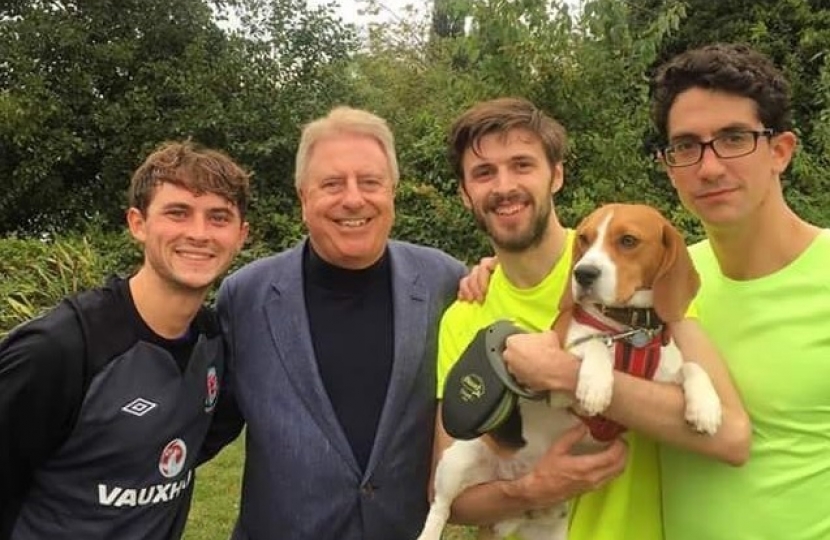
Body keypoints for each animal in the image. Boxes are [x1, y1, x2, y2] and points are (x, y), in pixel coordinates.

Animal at [420, 202, 724, 540]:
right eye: (584, 239)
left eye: (628, 241)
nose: (583, 273)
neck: (627, 330)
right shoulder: (553, 373)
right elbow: (592, 345)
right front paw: (596, 386)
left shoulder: (664, 376)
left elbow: (693, 366)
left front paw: (706, 408)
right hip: (456, 462)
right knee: (440, 506)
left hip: (550, 526)